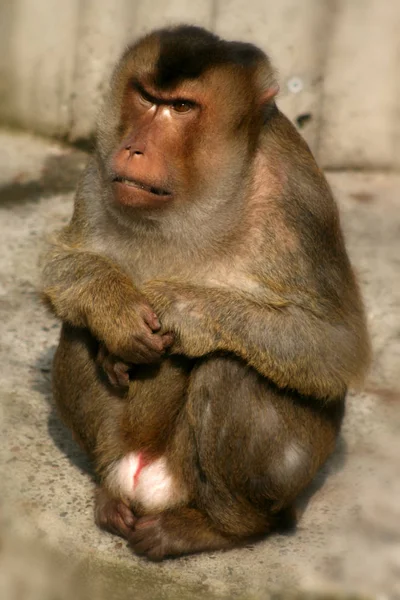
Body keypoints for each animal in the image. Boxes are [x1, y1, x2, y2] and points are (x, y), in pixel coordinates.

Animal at [40, 22, 368, 556]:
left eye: (181, 107)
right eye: (146, 97)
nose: (134, 148)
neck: (202, 198)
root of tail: (148, 483)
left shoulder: (302, 196)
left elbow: (336, 348)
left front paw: (181, 309)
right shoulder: (99, 166)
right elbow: (61, 262)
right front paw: (117, 315)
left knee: (232, 368)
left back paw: (222, 526)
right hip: (124, 446)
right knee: (75, 327)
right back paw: (110, 494)